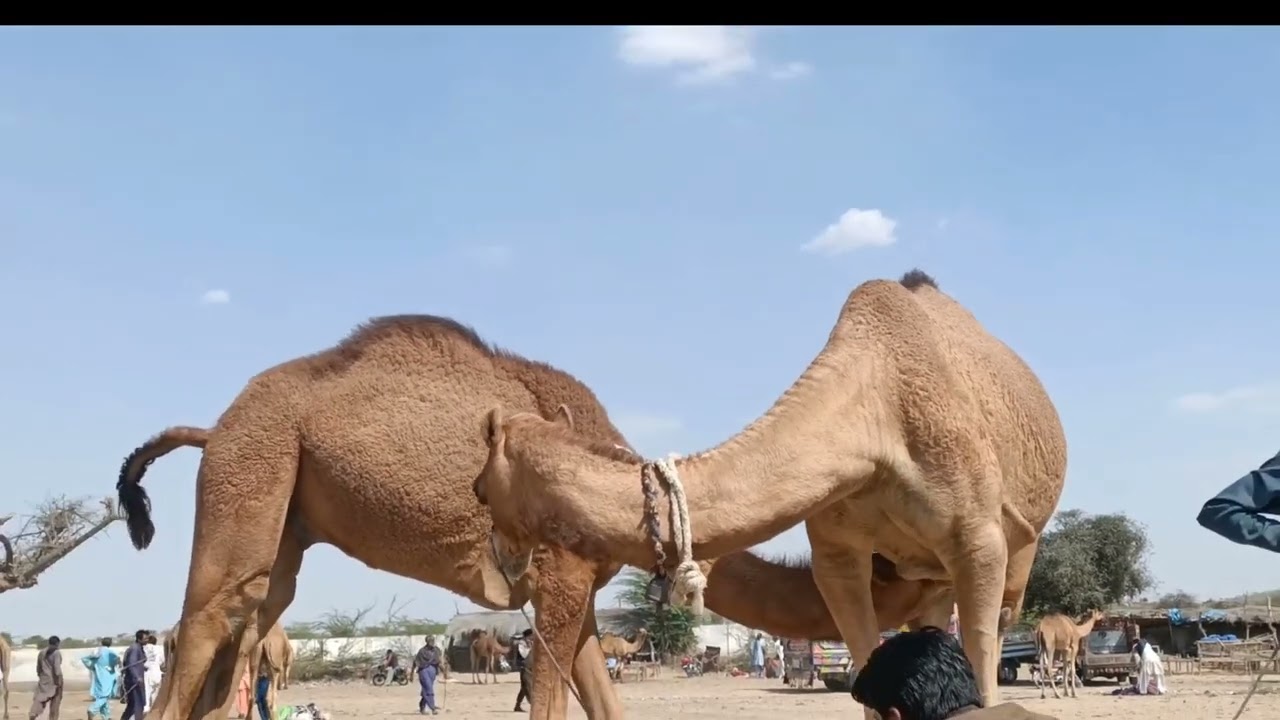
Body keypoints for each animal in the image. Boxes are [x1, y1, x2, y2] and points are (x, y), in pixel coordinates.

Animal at [114, 314, 901, 720]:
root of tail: (213, 430)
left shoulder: (580, 592)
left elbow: (600, 696)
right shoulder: (561, 570)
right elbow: (552, 697)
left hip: (285, 518)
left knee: (249, 623)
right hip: (252, 465)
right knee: (213, 618)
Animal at [472, 270, 1068, 716]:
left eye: (481, 488)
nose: (499, 554)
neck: (873, 419)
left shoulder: (978, 540)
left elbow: (982, 668)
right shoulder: (837, 556)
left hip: (1015, 556)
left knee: (999, 629)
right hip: (929, 575)